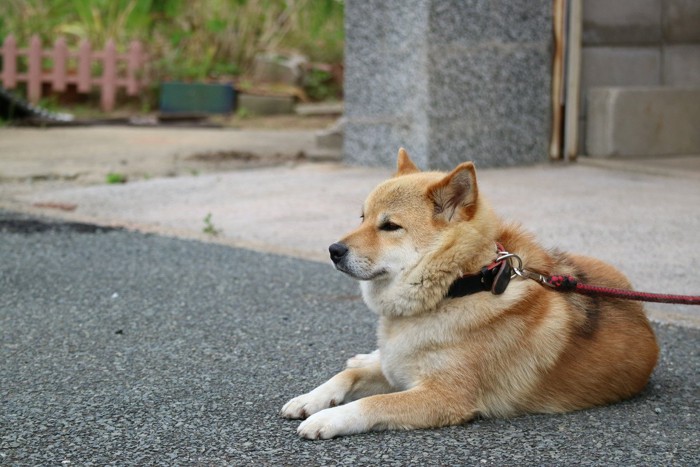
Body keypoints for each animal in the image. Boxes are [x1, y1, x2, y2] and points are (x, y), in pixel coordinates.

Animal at [278, 149, 656, 438]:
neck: (459, 287)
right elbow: (349, 376)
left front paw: (328, 418)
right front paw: (311, 399)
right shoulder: (398, 370)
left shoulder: (445, 396)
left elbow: (372, 403)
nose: (333, 250)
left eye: (390, 226)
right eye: (363, 217)